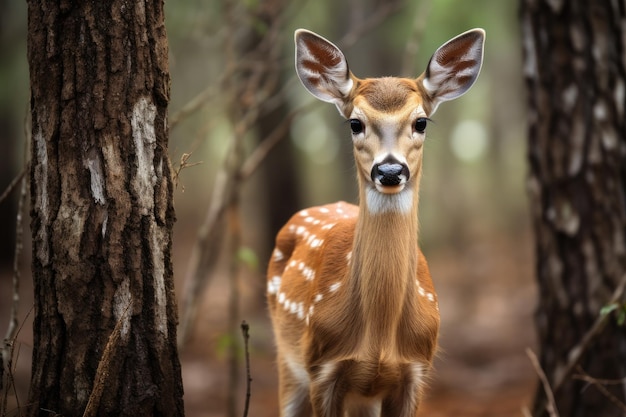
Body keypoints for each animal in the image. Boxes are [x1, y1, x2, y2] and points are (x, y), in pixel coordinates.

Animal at [266, 27, 486, 414]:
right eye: (356, 122)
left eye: (420, 121)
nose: (390, 171)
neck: (379, 339)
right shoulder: (321, 367)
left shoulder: (415, 372)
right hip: (287, 361)